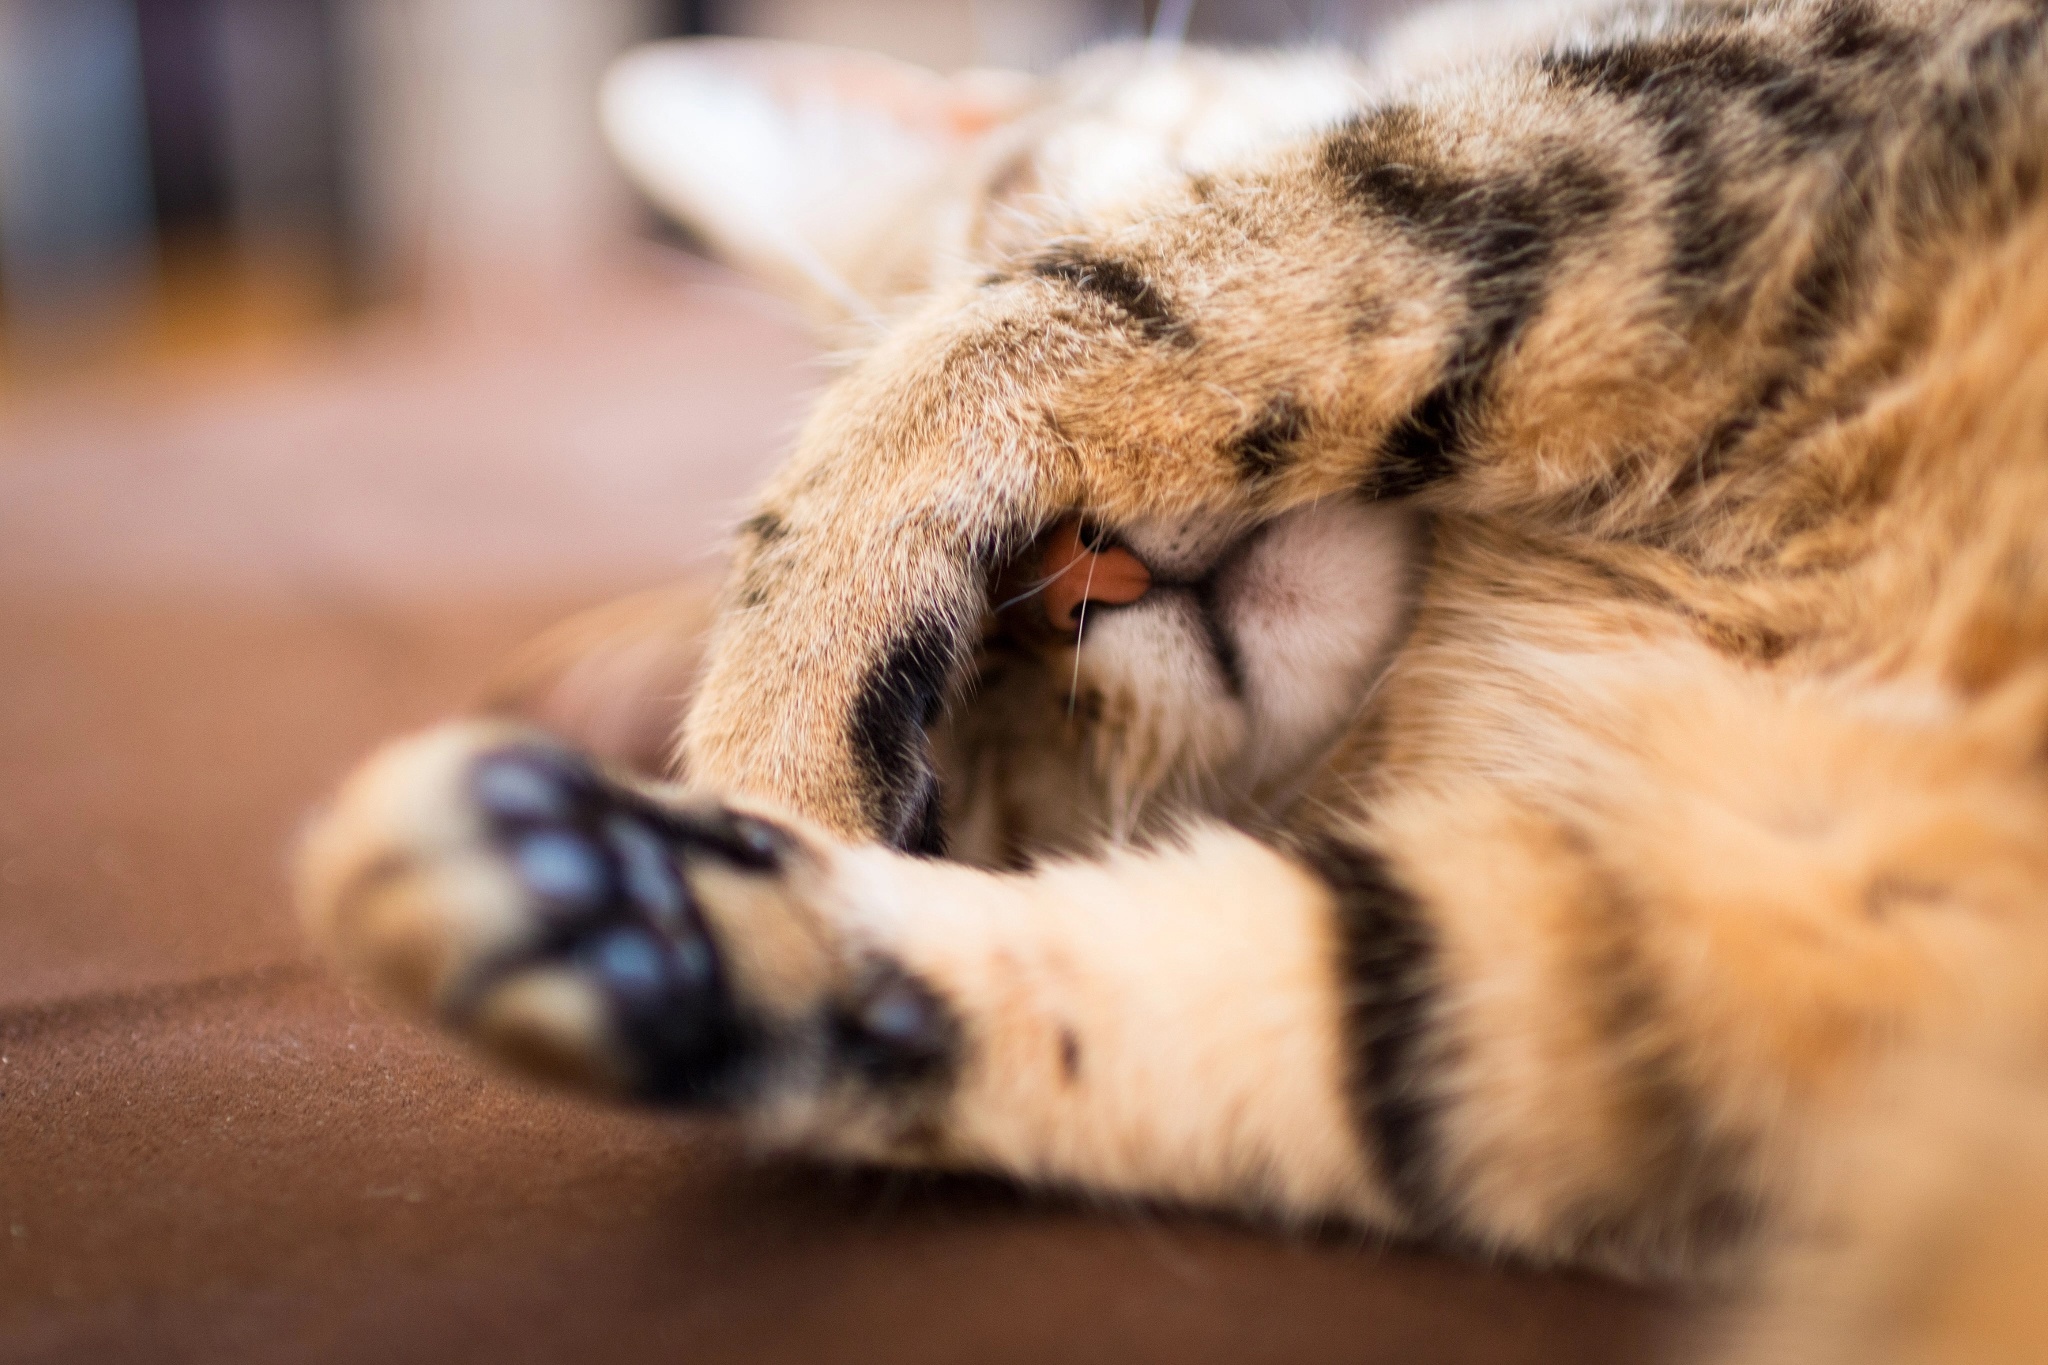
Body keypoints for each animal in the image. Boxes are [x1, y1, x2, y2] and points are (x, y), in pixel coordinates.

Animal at [296, 2, 2048, 1358]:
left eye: (1014, 207)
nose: (1063, 572)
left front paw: (774, 719)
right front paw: (656, 905)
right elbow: (1268, 999)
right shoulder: (1679, 948)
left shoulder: (1681, 112)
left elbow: (1105, 294)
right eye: (965, 767)